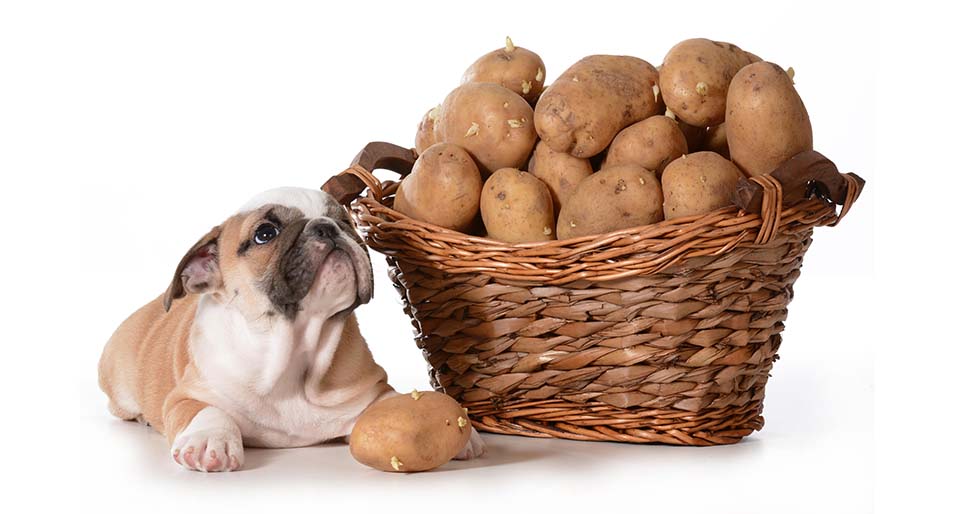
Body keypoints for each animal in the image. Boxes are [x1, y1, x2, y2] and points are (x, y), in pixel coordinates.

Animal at [97, 187, 484, 468]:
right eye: (265, 233)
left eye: (345, 220)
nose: (326, 227)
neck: (296, 348)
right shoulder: (188, 394)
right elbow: (207, 410)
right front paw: (210, 440)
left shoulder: (373, 390)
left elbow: (393, 402)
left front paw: (461, 432)